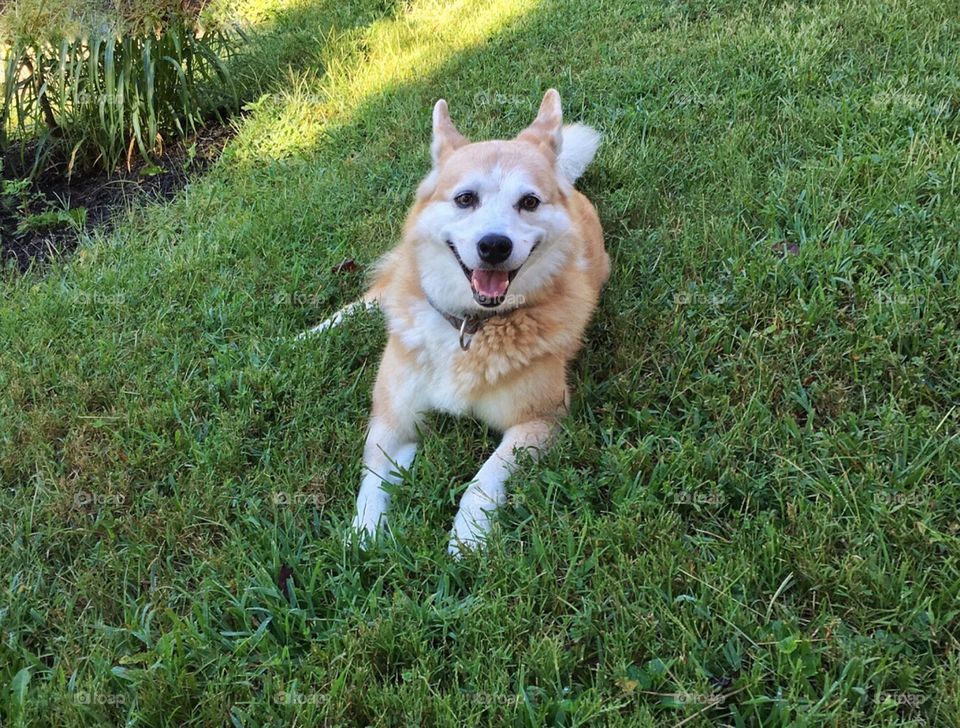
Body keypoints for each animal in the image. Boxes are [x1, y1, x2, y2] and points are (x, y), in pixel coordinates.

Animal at [304, 91, 612, 556]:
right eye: (465, 199)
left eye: (529, 202)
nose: (494, 246)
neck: (469, 326)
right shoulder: (392, 418)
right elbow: (372, 483)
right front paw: (364, 536)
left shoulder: (540, 419)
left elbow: (485, 477)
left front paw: (468, 535)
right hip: (393, 285)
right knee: (369, 300)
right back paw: (304, 338)